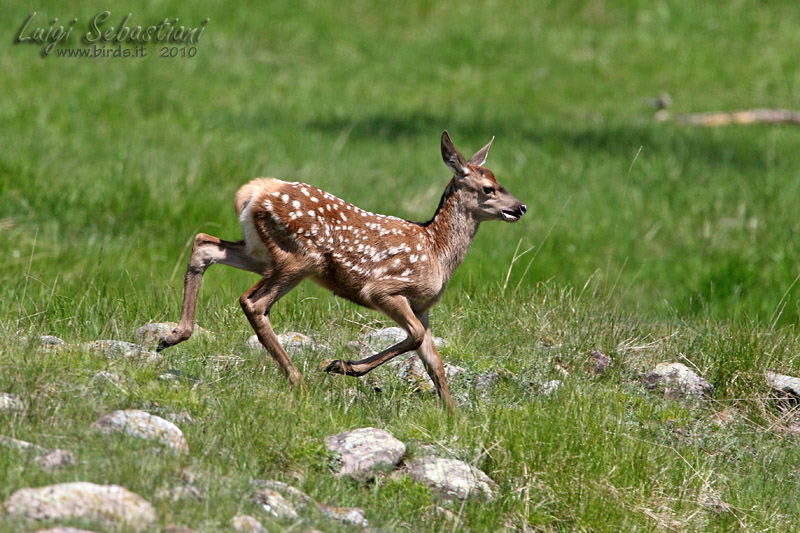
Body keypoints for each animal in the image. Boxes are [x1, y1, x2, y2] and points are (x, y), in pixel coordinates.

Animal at [157, 131, 526, 412]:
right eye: (488, 188)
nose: (520, 207)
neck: (437, 250)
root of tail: (254, 191)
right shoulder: (383, 289)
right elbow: (416, 338)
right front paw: (343, 366)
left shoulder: (423, 307)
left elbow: (433, 359)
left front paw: (452, 415)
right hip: (299, 257)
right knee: (253, 301)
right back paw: (298, 381)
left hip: (261, 252)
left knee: (205, 244)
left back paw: (173, 335)